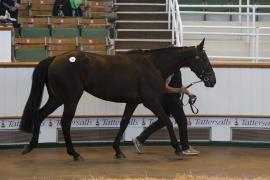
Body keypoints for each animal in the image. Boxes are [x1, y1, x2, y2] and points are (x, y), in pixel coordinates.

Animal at [20, 39, 216, 160]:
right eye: (204, 59)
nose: (212, 80)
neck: (153, 64)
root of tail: (55, 58)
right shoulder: (150, 101)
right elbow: (167, 121)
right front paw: (177, 149)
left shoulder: (133, 102)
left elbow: (123, 123)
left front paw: (118, 150)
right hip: (70, 99)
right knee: (65, 123)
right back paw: (74, 154)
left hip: (57, 98)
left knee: (40, 114)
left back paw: (30, 146)